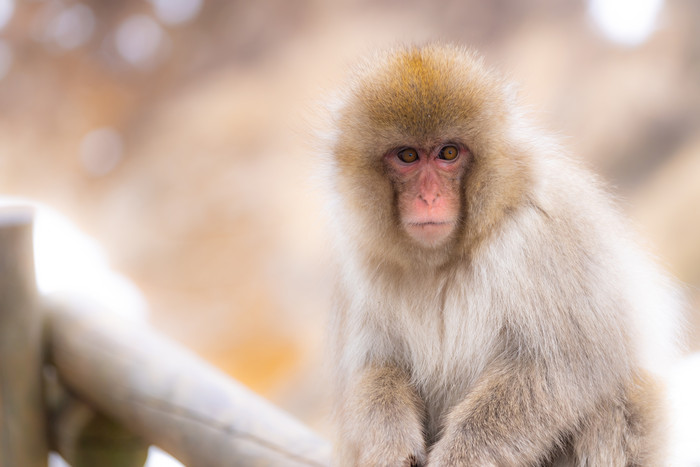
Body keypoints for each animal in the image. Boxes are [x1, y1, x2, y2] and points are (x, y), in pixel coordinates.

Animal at [322, 44, 684, 467]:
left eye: (448, 153)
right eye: (408, 156)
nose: (429, 197)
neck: (446, 259)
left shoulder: (544, 233)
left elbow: (559, 368)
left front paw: (457, 458)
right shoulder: (359, 263)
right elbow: (374, 368)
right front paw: (390, 447)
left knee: (618, 399)